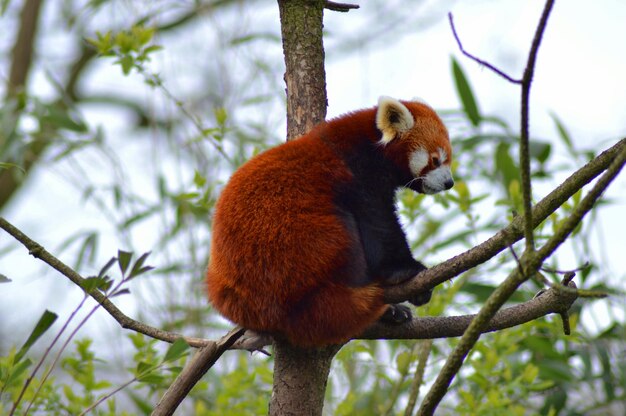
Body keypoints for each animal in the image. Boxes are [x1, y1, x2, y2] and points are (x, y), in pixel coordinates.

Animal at [207, 97, 450, 348]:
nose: (449, 182)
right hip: (299, 247)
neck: (368, 142)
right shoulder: (360, 174)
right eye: (435, 160)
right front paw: (406, 270)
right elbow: (379, 225)